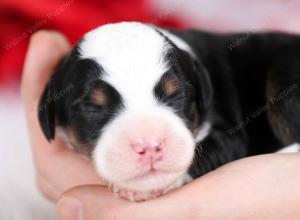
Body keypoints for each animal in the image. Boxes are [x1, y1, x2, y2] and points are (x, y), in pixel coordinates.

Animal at [38, 21, 300, 201]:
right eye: (92, 106)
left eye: (175, 95)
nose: (149, 146)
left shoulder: (228, 132)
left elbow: (207, 151)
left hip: (284, 73)